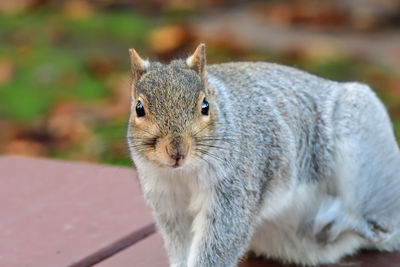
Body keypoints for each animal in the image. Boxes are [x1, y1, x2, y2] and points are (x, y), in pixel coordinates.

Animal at [126, 44, 400, 267]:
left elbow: (223, 238)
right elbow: (179, 244)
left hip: (367, 148)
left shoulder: (236, 186)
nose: (177, 151)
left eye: (205, 105)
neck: (183, 173)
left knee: (383, 225)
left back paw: (343, 219)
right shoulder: (168, 202)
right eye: (139, 108)